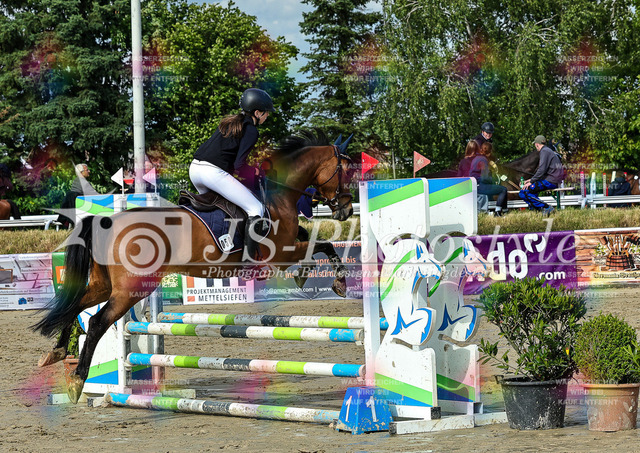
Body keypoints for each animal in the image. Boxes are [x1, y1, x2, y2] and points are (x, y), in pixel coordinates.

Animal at [33, 129, 355, 403]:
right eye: (347, 172)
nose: (346, 210)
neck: (278, 196)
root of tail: (108, 220)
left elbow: (313, 240)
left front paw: (315, 276)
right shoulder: (280, 255)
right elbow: (321, 246)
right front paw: (330, 280)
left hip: (105, 285)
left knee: (75, 304)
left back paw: (57, 353)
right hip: (131, 289)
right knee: (98, 322)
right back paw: (77, 380)